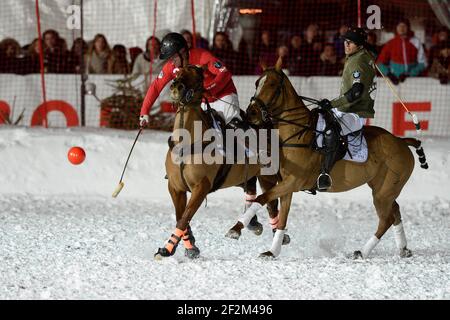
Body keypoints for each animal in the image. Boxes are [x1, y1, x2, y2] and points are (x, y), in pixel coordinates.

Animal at [156, 64, 282, 260]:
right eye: (178, 72)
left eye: (199, 77)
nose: (177, 87)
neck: (187, 142)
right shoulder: (175, 187)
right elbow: (181, 217)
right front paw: (190, 246)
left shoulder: (201, 187)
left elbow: (185, 217)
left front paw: (168, 248)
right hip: (247, 176)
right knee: (251, 191)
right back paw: (252, 223)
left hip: (267, 176)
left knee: (272, 205)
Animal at [229, 57, 428, 258]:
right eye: (256, 83)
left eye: (272, 84)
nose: (251, 113)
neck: (297, 133)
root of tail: (402, 141)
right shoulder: (287, 185)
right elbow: (282, 217)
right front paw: (272, 251)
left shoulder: (294, 181)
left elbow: (262, 198)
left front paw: (236, 229)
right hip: (383, 188)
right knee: (395, 211)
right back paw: (403, 249)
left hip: (383, 192)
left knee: (386, 219)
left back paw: (362, 252)